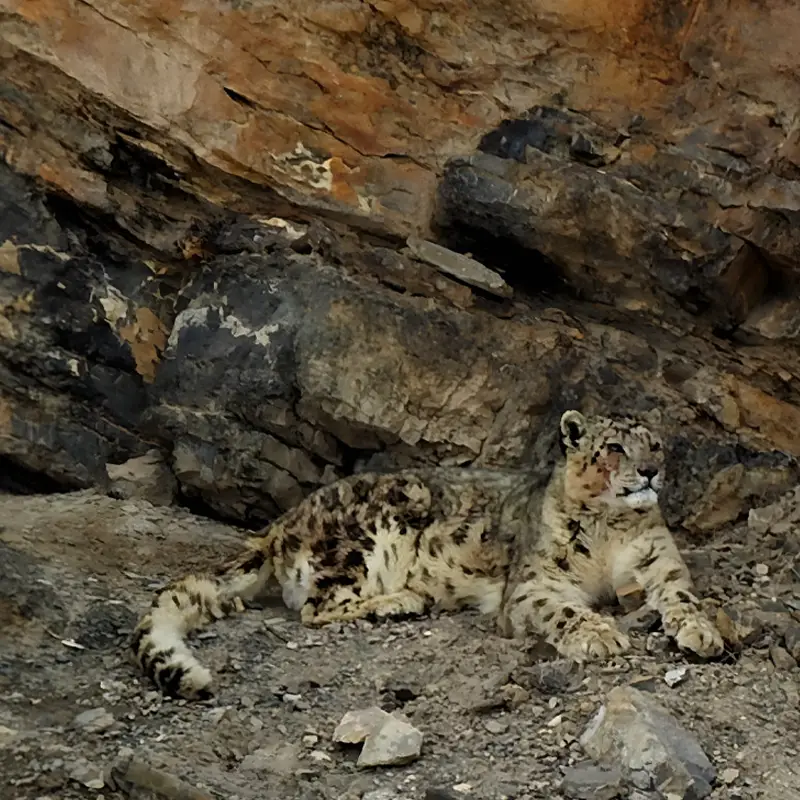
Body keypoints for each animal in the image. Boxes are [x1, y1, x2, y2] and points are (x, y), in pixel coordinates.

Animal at [131, 408, 723, 699]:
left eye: (656, 444)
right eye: (615, 447)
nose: (651, 470)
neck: (610, 532)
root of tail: (282, 522)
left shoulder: (660, 563)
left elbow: (682, 595)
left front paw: (701, 632)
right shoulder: (533, 585)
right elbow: (562, 608)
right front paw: (600, 635)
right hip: (366, 537)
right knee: (316, 607)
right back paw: (402, 601)